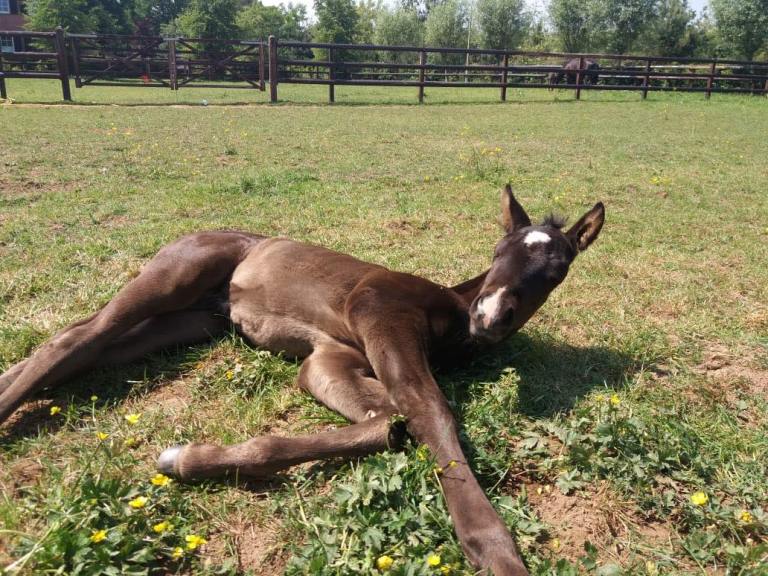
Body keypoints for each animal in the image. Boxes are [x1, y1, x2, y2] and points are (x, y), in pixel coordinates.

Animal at [0, 185, 605, 575]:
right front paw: (494, 547)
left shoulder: (328, 359)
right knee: (75, 338)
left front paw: (188, 458)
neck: (454, 323)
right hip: (174, 276)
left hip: (190, 321)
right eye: (498, 250)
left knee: (91, 345)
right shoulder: (378, 311)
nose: (491, 315)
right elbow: (431, 411)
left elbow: (390, 421)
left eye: (557, 271)